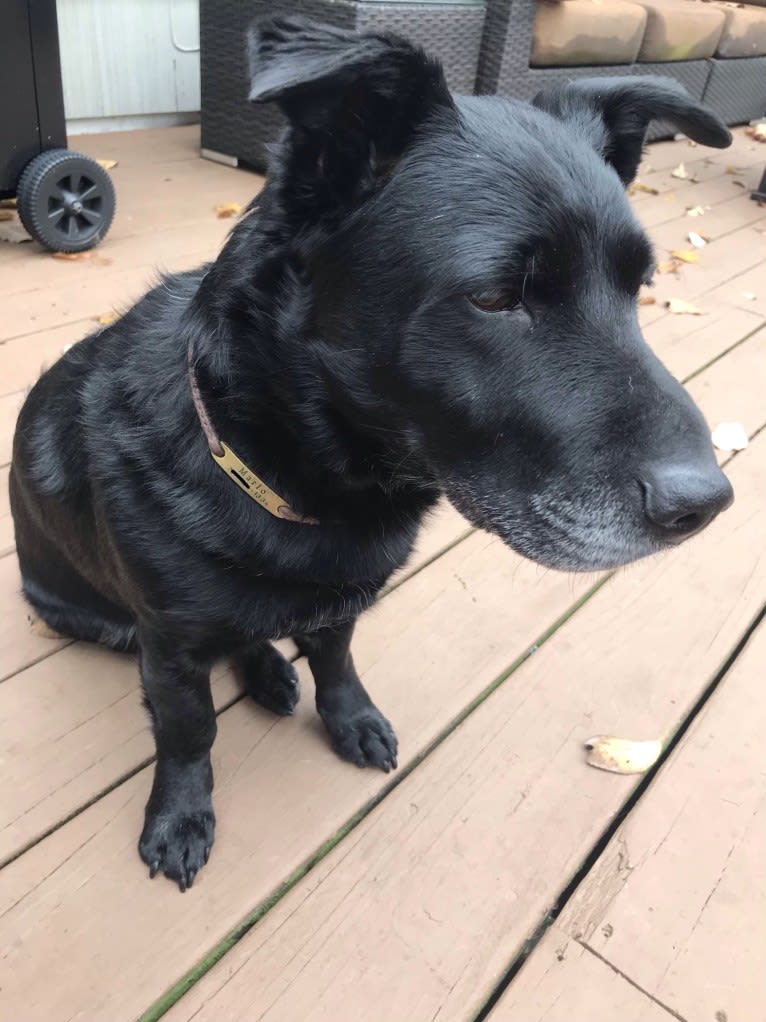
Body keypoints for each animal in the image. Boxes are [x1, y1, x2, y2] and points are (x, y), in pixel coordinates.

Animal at [10, 19, 731, 891]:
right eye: (495, 297)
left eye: (639, 287)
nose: (707, 504)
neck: (292, 475)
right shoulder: (169, 649)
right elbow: (189, 737)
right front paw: (180, 815)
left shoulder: (344, 602)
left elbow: (338, 664)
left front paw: (346, 716)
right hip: (94, 619)